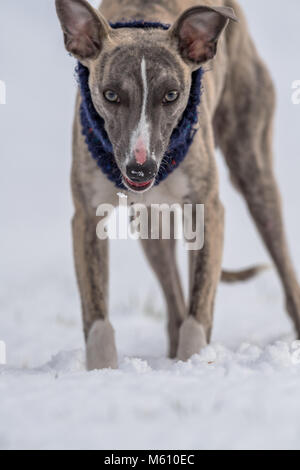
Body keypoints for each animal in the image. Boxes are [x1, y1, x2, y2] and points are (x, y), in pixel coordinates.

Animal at [55, 0, 300, 370]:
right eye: (110, 94)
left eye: (171, 95)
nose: (140, 169)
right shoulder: (86, 215)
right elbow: (95, 313)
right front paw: (102, 369)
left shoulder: (208, 209)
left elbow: (200, 305)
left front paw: (194, 363)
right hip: (151, 226)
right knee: (174, 303)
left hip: (254, 173)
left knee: (283, 267)